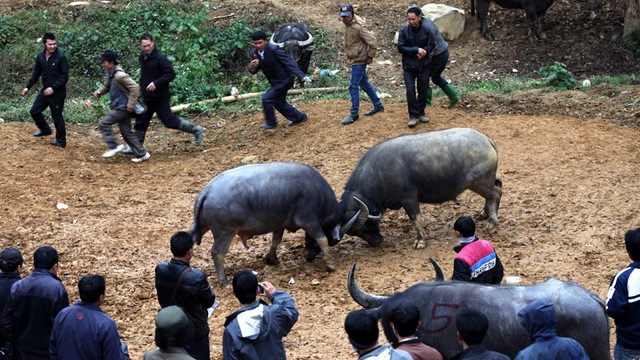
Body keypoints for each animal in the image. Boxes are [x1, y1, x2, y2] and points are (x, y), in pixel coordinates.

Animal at [186, 162, 360, 284]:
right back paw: (224, 280)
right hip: (225, 232)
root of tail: (207, 191)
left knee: (190, 237)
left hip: (201, 226)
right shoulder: (310, 221)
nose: (309, 256)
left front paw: (272, 259)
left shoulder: (280, 224)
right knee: (217, 252)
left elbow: (276, 239)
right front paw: (330, 264)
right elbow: (321, 238)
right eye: (332, 241)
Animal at [338, 128, 502, 249]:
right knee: (494, 191)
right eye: (356, 233)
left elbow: (416, 219)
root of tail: (485, 140)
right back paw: (484, 214)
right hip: (484, 182)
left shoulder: (409, 199)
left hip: (479, 183)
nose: (377, 242)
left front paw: (420, 241)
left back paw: (492, 224)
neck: (378, 174)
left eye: (363, 228)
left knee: (496, 194)